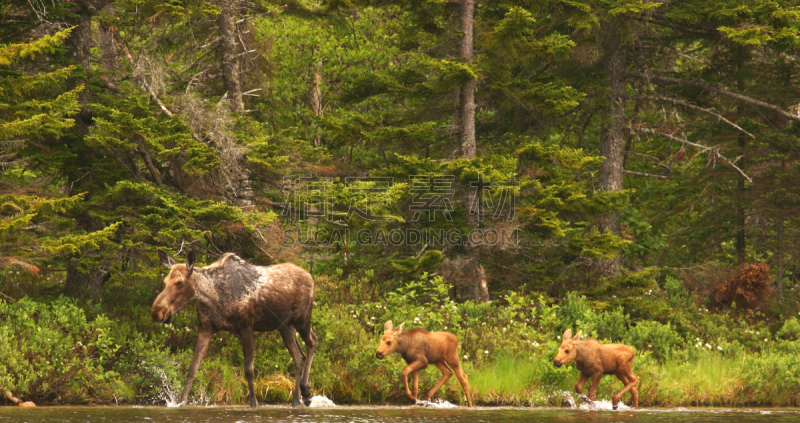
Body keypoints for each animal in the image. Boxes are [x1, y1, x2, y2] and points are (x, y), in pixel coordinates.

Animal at [150, 252, 316, 408]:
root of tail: (310, 277)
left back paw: (306, 393)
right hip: (285, 326)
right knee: (299, 357)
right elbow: (193, 368)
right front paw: (181, 401)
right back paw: (298, 399)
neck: (213, 296)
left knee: (312, 341)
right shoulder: (206, 328)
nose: (157, 312)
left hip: (302, 319)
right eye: (165, 282)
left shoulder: (246, 326)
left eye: (179, 283)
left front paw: (254, 403)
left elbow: (249, 369)